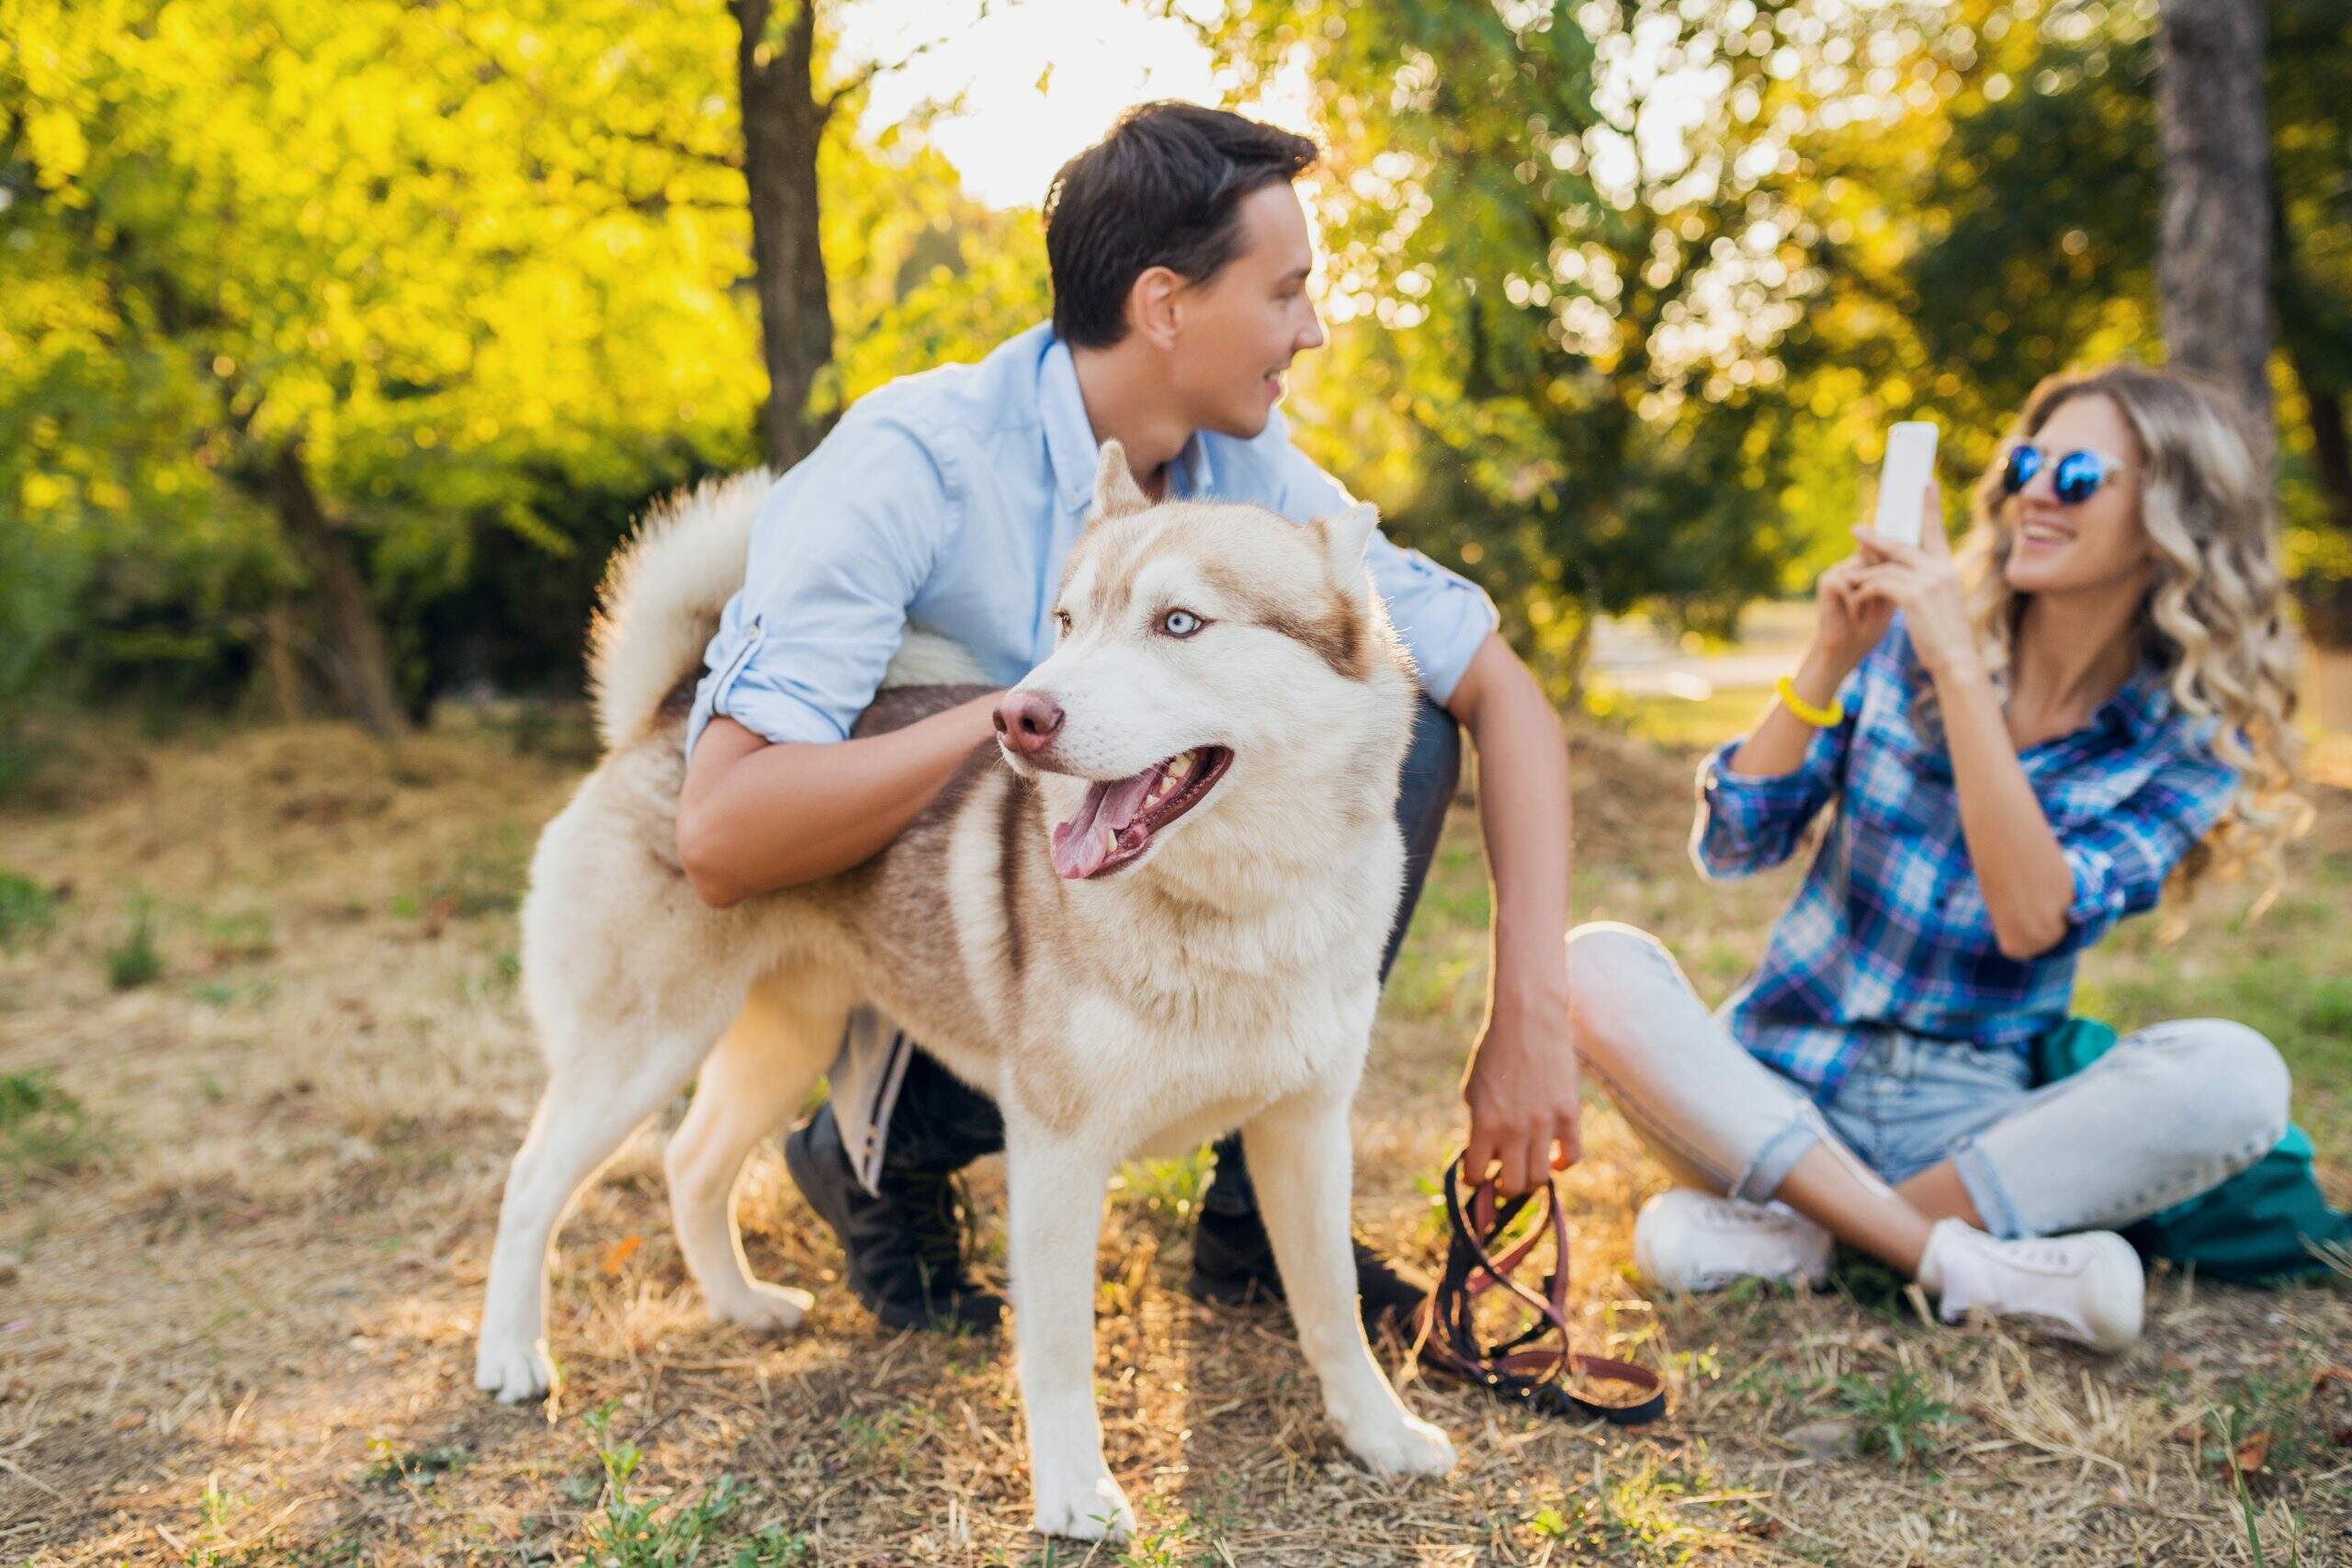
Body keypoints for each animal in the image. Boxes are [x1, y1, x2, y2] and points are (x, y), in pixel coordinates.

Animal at [475, 444, 1448, 1541]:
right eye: (1066, 622)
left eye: (1179, 623)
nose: (1018, 715)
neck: (1235, 913)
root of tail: (668, 714)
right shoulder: (1058, 1151)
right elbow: (1060, 1349)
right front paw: (1073, 1491)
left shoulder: (1305, 1127)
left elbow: (1333, 1310)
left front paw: (1378, 1434)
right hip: (640, 1054)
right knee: (532, 1183)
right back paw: (511, 1354)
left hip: (785, 1043)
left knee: (692, 1162)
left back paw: (742, 1305)